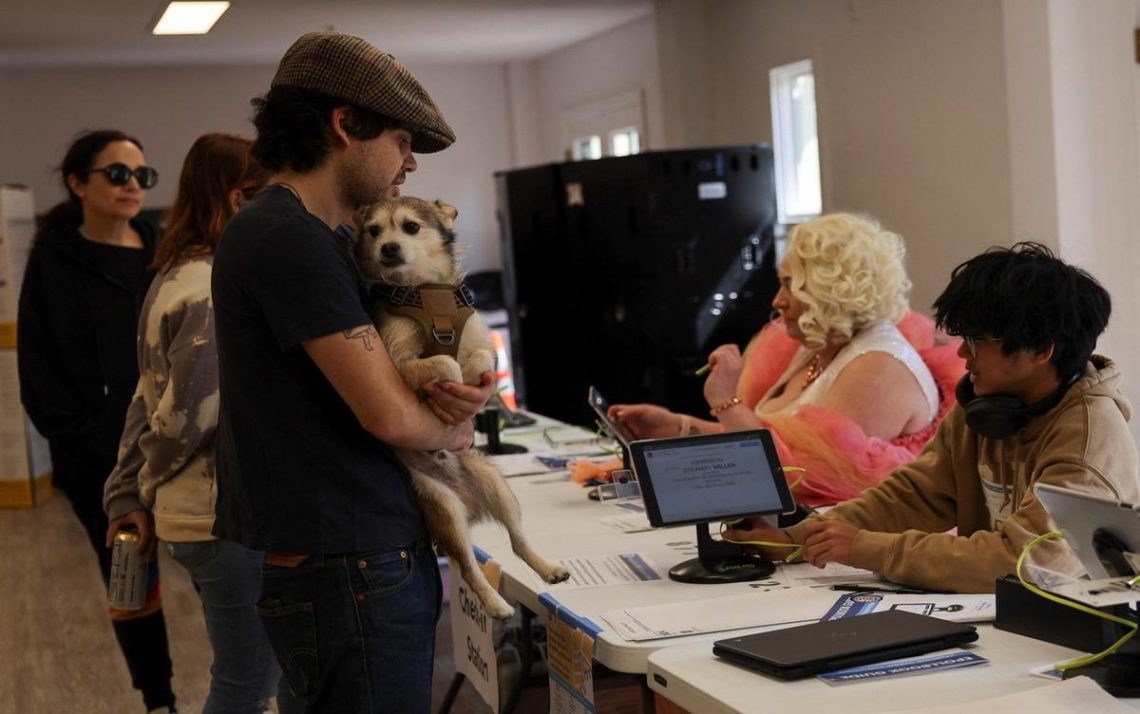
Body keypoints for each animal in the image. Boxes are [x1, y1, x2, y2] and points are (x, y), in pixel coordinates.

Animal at [355, 195, 570, 615]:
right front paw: (447, 383)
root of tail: (469, 504)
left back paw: (548, 569)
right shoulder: (396, 361)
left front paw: (473, 380)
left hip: (496, 485)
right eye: (373, 230)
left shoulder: (478, 340)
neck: (424, 289)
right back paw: (496, 604)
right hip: (443, 506)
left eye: (410, 227)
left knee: (518, 541)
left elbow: (481, 359)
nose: (388, 248)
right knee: (468, 565)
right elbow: (443, 361)